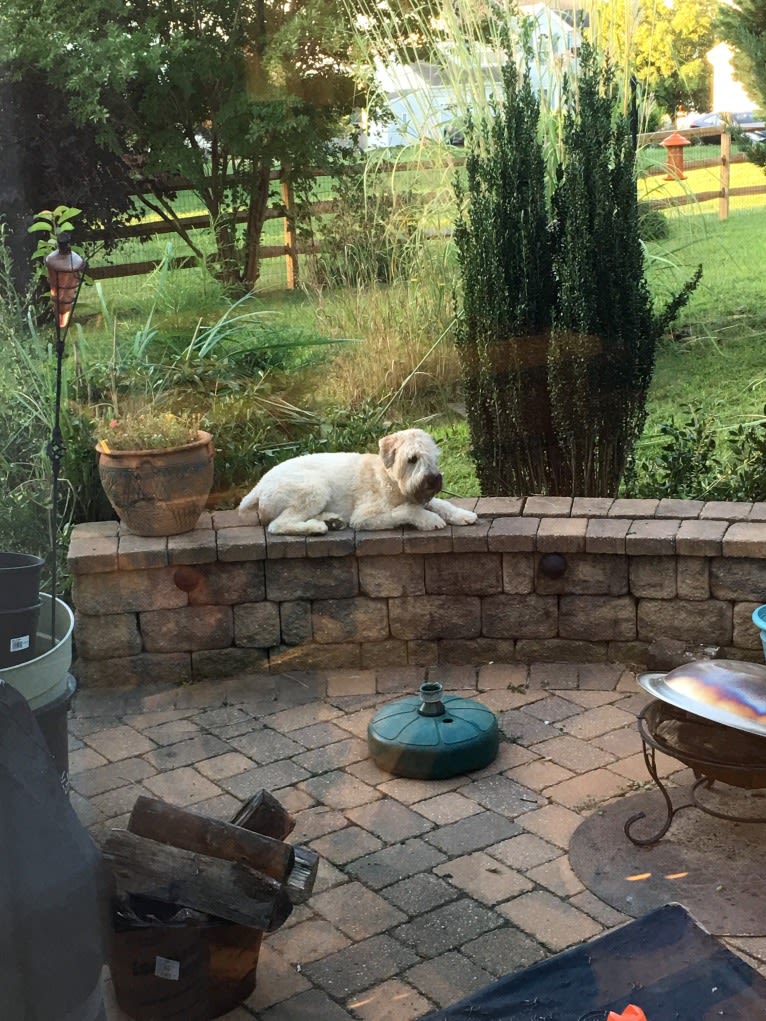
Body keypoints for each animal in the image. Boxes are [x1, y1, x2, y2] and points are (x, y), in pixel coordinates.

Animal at [240, 426, 480, 535]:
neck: (389, 479)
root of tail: (259, 487)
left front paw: (462, 514)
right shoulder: (366, 516)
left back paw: (331, 520)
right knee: (277, 524)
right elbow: (406, 511)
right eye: (412, 459)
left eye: (434, 457)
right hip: (314, 488)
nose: (433, 480)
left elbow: (441, 503)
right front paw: (429, 519)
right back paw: (317, 527)